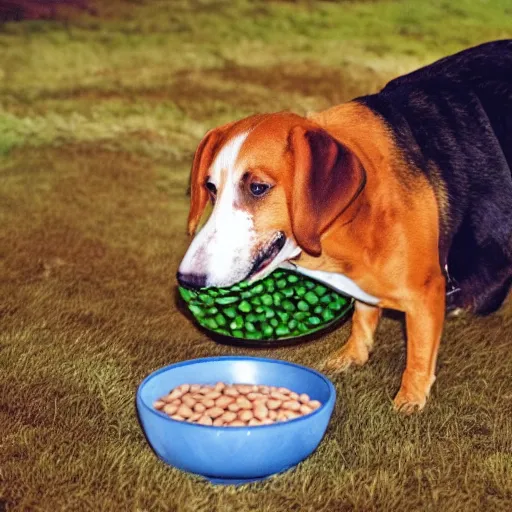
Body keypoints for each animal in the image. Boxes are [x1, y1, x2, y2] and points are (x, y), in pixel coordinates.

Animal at [177, 41, 512, 416]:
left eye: (258, 188)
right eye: (211, 188)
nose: (188, 279)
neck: (354, 213)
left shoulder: (426, 294)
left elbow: (419, 355)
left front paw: (409, 401)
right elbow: (363, 318)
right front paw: (353, 356)